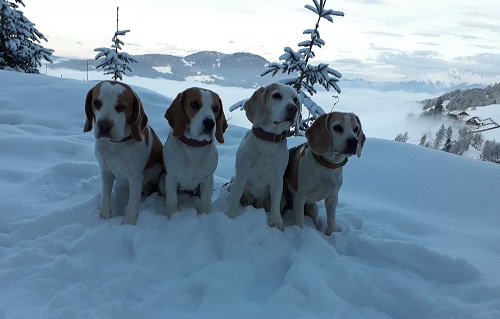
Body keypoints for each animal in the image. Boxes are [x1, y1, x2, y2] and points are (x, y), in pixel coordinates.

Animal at [83, 80, 162, 225]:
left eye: (121, 107)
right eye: (96, 102)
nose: (104, 126)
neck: (116, 145)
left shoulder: (135, 178)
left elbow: (132, 205)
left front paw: (128, 225)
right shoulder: (105, 172)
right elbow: (105, 198)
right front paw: (104, 218)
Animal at [163, 86, 228, 219]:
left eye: (216, 108)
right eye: (194, 104)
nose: (210, 123)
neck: (193, 146)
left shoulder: (207, 178)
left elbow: (204, 201)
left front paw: (204, 215)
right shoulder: (170, 177)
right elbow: (172, 201)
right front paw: (171, 217)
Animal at [228, 82, 300, 230]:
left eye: (295, 100)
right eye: (276, 96)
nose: (293, 108)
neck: (268, 142)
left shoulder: (277, 180)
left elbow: (275, 204)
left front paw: (276, 221)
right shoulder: (241, 176)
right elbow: (234, 200)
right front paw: (230, 218)